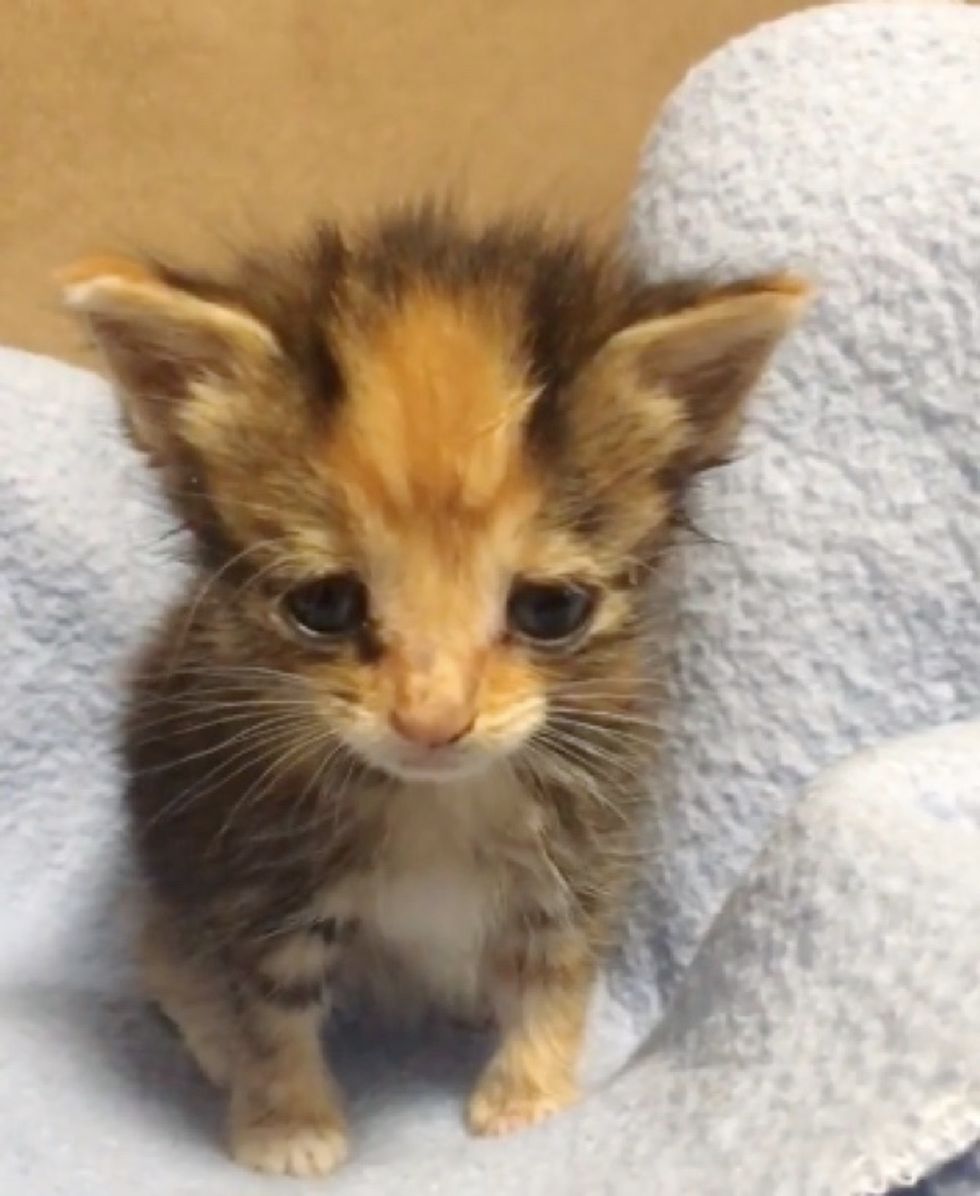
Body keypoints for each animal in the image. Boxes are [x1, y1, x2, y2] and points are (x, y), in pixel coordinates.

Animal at [59, 210, 804, 1181]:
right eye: (325, 605)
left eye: (550, 610)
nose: (433, 721)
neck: (434, 803)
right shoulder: (246, 860)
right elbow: (268, 1005)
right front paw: (285, 1123)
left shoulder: (585, 841)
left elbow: (559, 968)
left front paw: (529, 1097)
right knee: (170, 955)